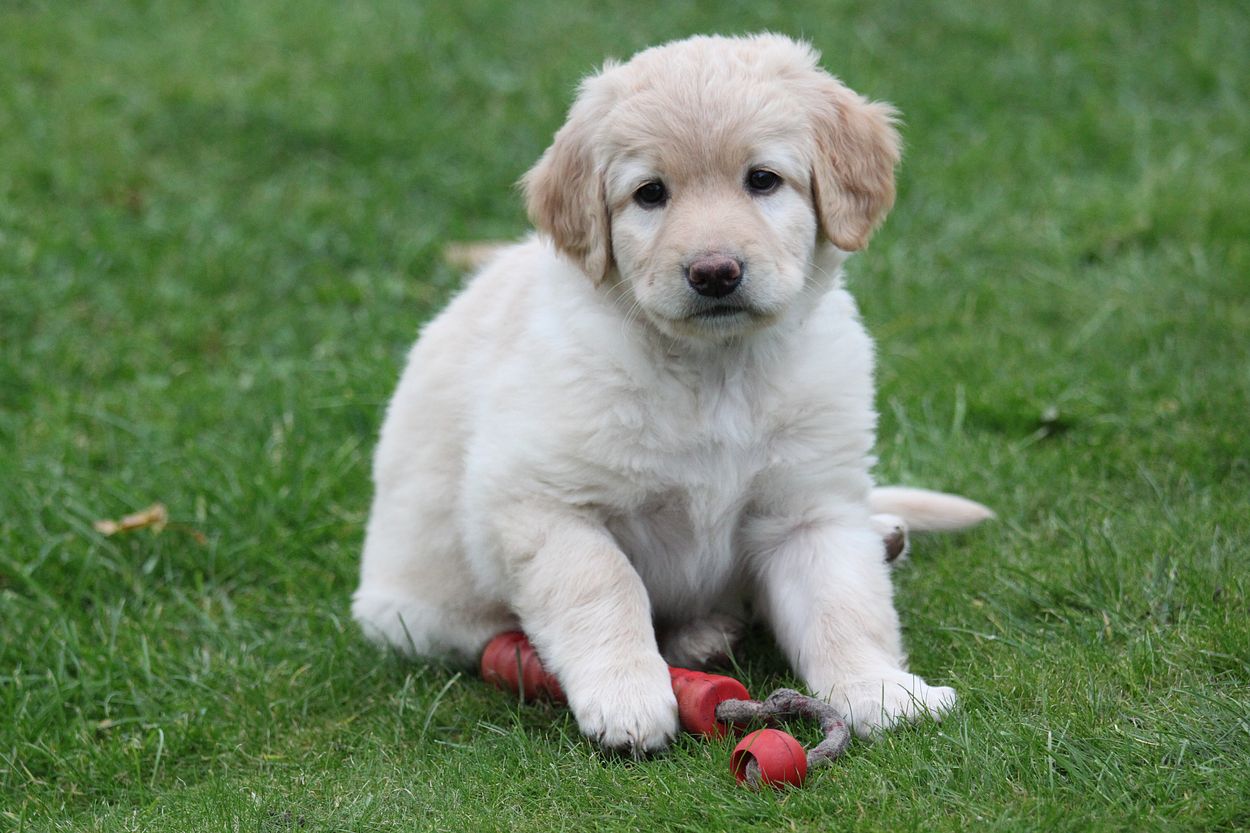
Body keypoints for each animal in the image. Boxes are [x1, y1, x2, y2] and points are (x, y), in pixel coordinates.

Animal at [353, 33, 991, 755]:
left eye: (763, 179)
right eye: (650, 193)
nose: (714, 272)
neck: (714, 371)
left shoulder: (810, 506)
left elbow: (843, 602)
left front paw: (878, 689)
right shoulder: (542, 503)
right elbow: (604, 585)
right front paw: (627, 696)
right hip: (417, 611)